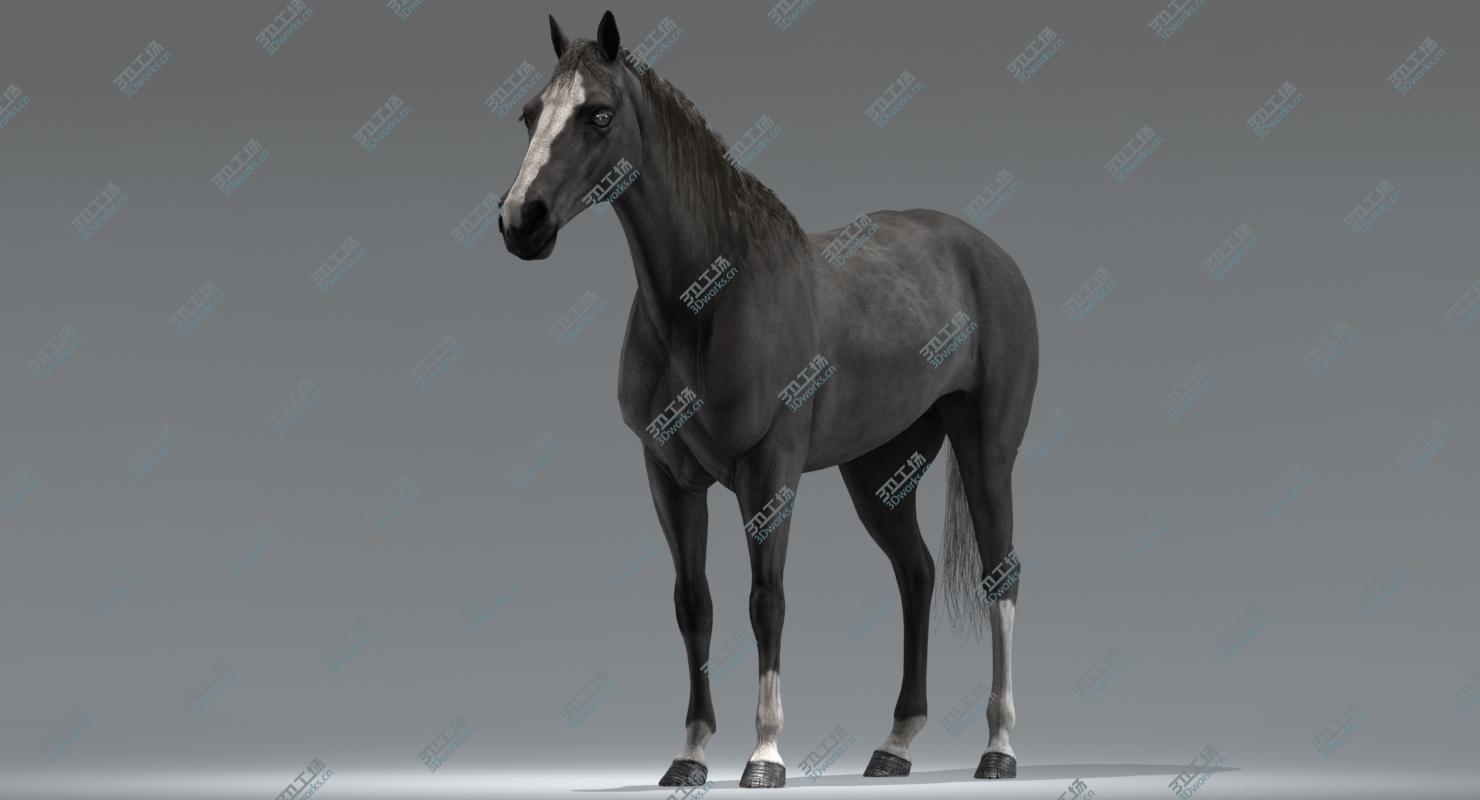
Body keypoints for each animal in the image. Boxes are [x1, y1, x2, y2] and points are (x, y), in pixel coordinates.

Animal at [498, 11, 1039, 788]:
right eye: (530, 113)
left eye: (597, 114)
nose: (522, 221)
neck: (710, 301)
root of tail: (991, 254)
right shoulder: (668, 477)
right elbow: (694, 604)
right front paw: (690, 755)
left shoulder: (769, 469)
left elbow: (767, 601)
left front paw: (765, 756)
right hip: (880, 472)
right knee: (916, 574)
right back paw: (895, 745)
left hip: (987, 452)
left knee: (1002, 576)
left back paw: (998, 748)